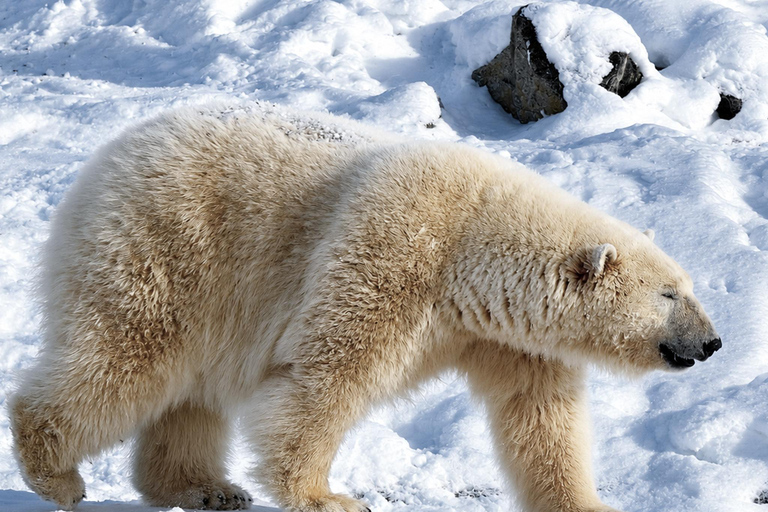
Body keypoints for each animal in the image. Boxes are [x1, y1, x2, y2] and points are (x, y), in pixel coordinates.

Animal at [10, 102, 721, 512]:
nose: (713, 342)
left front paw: (586, 504)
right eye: (669, 294)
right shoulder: (387, 260)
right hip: (169, 250)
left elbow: (541, 417)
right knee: (129, 359)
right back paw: (58, 475)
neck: (470, 247)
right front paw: (327, 497)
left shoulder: (511, 337)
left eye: (689, 285)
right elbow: (324, 381)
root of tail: (110, 154)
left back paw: (205, 488)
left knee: (190, 392)